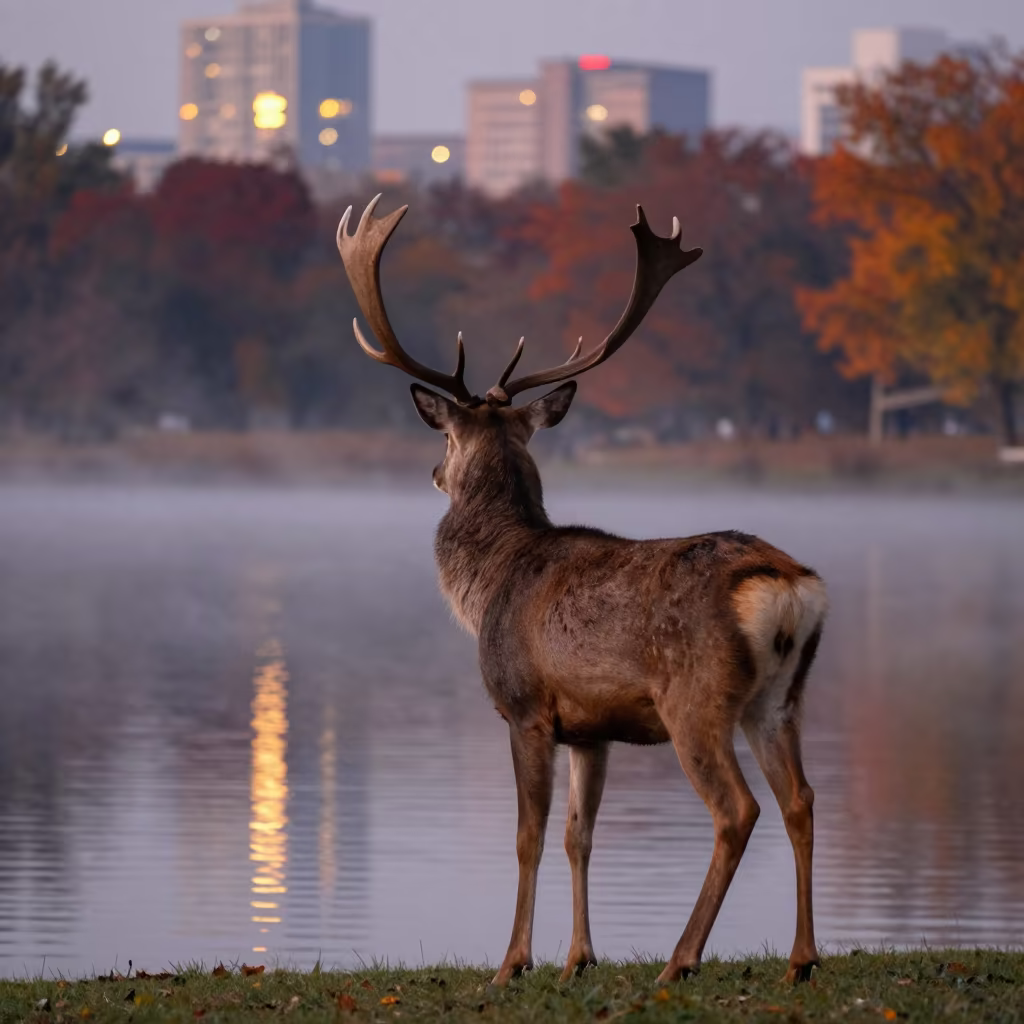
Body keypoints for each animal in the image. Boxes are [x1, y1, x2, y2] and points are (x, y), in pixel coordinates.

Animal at [336, 195, 828, 987]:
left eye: (444, 440)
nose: (434, 474)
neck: (489, 585)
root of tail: (785, 587)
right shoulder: (591, 730)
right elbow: (579, 835)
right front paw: (578, 958)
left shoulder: (525, 706)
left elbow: (528, 836)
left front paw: (512, 962)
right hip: (781, 698)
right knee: (801, 801)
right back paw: (802, 958)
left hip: (695, 698)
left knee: (738, 810)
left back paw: (680, 961)